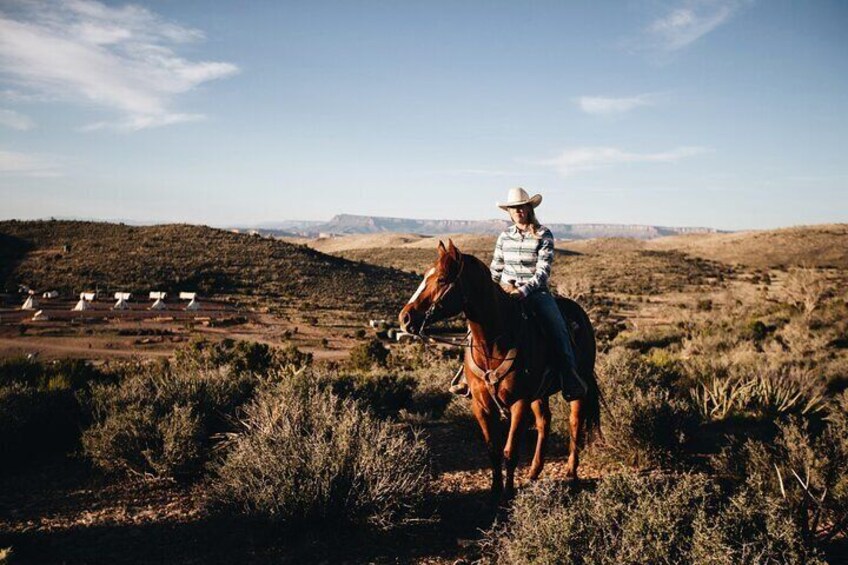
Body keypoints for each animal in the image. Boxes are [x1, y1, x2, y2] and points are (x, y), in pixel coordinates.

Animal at [400, 240, 600, 496]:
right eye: (426, 275)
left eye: (442, 279)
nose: (405, 318)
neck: (493, 342)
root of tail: (580, 314)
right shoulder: (481, 404)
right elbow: (493, 449)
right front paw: (495, 490)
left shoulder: (519, 402)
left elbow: (510, 451)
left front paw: (509, 492)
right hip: (540, 393)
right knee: (544, 421)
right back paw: (534, 471)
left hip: (577, 385)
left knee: (575, 422)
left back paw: (571, 472)